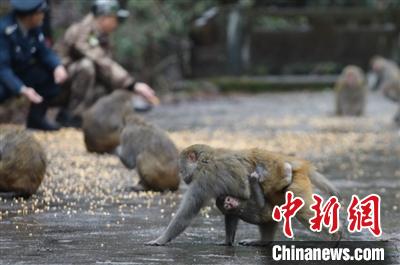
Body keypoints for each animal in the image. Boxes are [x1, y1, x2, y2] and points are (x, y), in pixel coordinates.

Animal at [145, 143, 340, 244]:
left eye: (181, 168)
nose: (183, 177)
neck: (205, 161)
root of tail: (298, 164)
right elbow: (231, 204)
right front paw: (227, 241)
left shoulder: (204, 179)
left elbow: (187, 214)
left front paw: (161, 239)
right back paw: (263, 242)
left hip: (295, 184)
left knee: (303, 211)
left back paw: (334, 236)